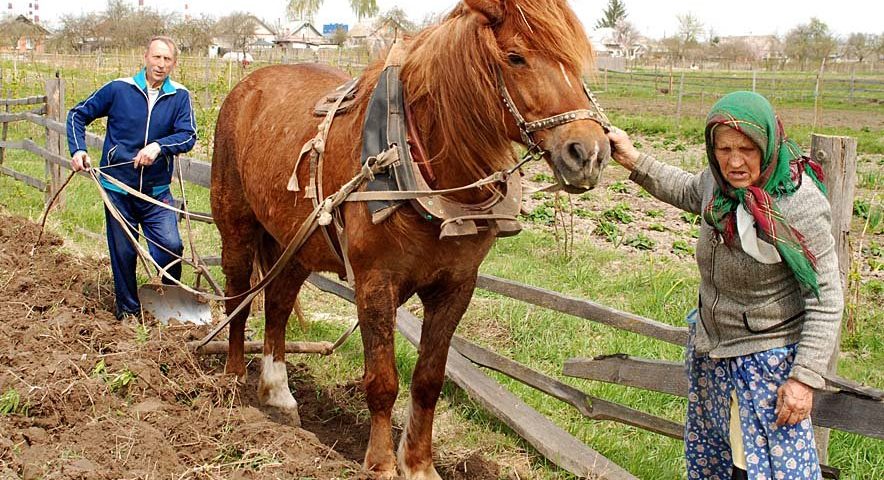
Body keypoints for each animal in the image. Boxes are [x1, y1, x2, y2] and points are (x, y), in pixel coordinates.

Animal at [211, 1, 612, 478]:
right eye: (516, 57)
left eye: (575, 63)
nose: (588, 153)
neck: (427, 170)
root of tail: (247, 86)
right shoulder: (375, 283)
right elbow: (383, 381)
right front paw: (383, 464)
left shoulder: (456, 286)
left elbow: (428, 380)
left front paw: (419, 463)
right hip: (236, 227)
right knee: (239, 298)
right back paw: (235, 381)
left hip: (297, 242)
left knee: (278, 304)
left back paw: (277, 394)